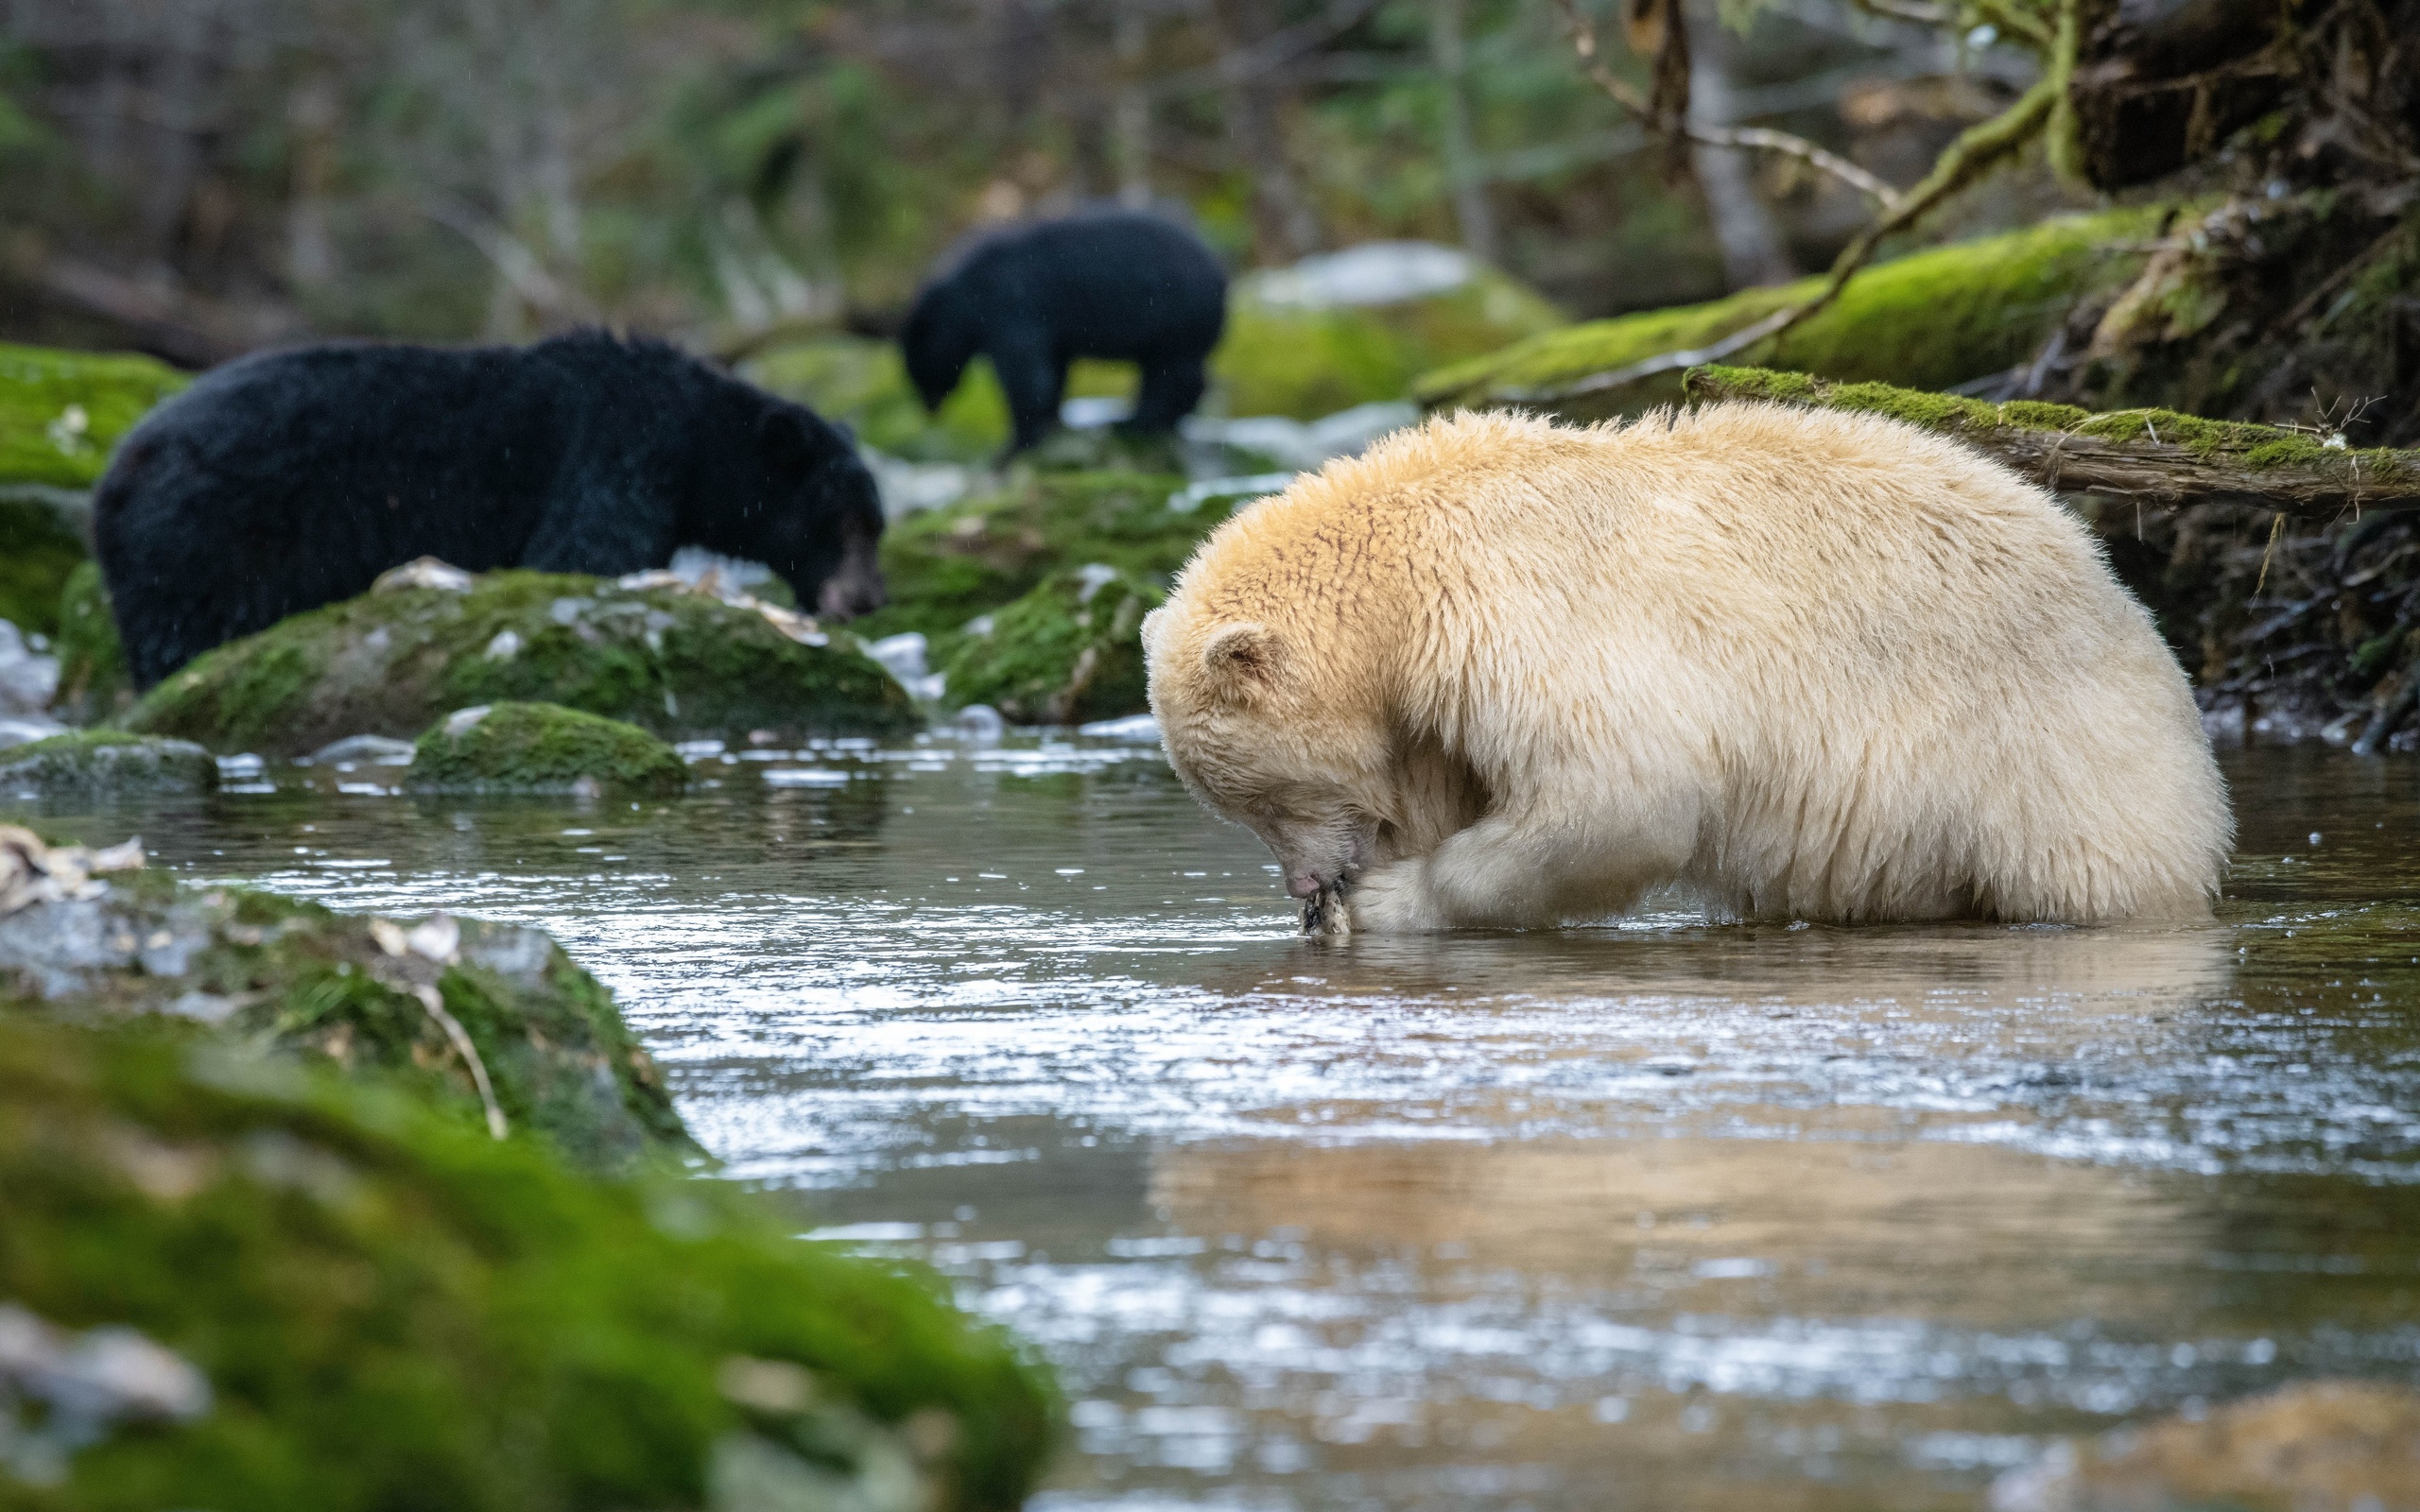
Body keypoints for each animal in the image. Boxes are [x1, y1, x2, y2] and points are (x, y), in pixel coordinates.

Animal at [96, 334, 890, 687]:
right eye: (849, 522)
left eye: (876, 524)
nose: (868, 600)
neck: (698, 447)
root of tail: (110, 480)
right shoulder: (616, 456)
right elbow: (582, 552)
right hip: (208, 540)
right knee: (186, 632)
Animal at [900, 209, 1229, 450]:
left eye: (919, 374)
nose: (929, 409)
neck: (963, 296)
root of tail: (1220, 271)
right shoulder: (1046, 328)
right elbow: (1053, 369)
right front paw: (1049, 424)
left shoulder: (1010, 305)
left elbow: (1026, 374)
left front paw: (1013, 446)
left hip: (1175, 317)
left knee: (1171, 372)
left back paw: (1134, 422)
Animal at [1142, 401, 2236, 934]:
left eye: (1263, 797)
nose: (1303, 885)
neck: (1403, 567)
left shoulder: (1518, 614)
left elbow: (1619, 792)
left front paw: (1389, 905)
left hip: (2047, 758)